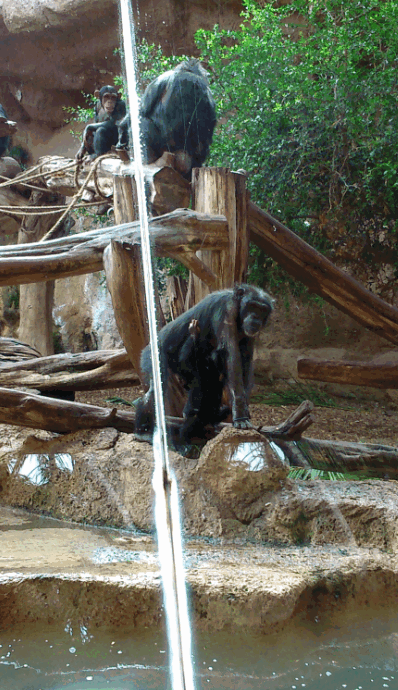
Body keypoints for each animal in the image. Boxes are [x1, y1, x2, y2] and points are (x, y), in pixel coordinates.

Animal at [134, 280, 274, 446]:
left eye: (262, 309)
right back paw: (142, 432)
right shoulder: (226, 310)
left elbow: (245, 360)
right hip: (151, 356)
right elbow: (232, 357)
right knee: (155, 390)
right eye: (252, 306)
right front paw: (240, 417)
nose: (255, 317)